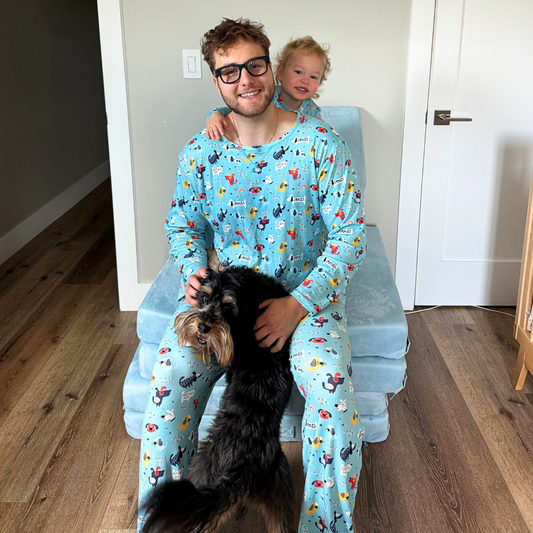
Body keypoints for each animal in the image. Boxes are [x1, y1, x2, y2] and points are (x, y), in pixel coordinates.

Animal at [143, 265, 295, 533]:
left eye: (227, 307)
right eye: (204, 298)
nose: (203, 327)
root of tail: (240, 470)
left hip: (200, 477)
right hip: (279, 489)